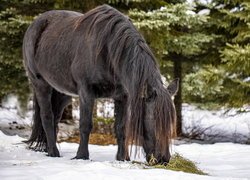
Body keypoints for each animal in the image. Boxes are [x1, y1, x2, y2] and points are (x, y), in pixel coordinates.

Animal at [22, 4, 178, 165]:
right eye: (155, 121)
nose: (164, 159)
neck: (108, 50)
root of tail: (36, 24)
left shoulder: (123, 96)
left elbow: (121, 127)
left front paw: (122, 158)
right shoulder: (86, 92)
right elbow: (85, 125)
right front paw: (82, 156)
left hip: (62, 93)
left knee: (55, 118)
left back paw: (48, 149)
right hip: (41, 85)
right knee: (47, 116)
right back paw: (53, 152)